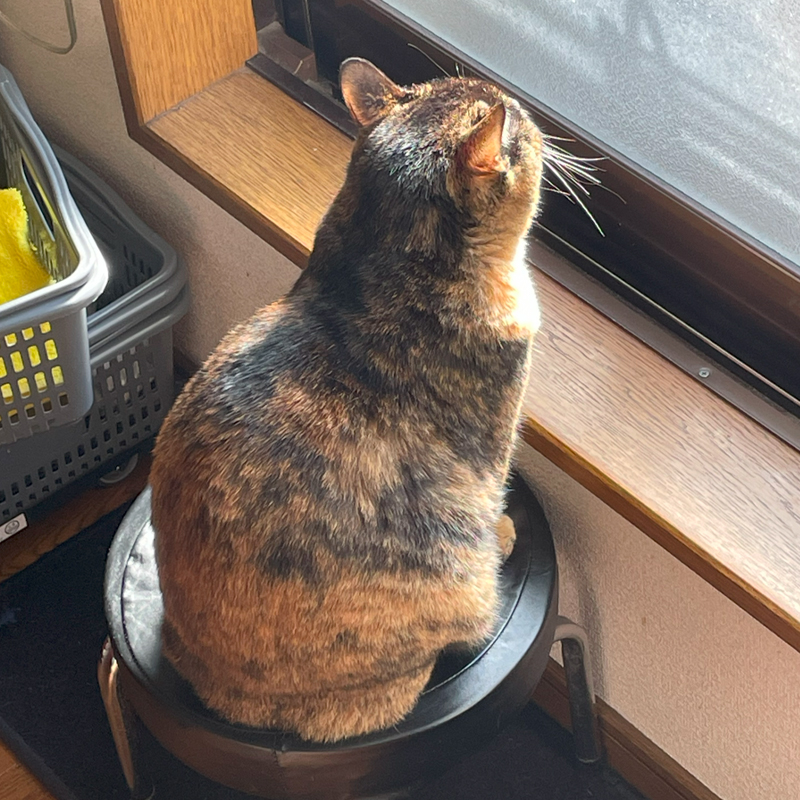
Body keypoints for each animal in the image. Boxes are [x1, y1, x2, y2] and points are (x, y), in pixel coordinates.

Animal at [149, 57, 544, 743]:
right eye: (512, 118)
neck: (375, 265)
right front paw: (502, 530)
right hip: (450, 576)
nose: (524, 103)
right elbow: (495, 498)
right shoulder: (491, 451)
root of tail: (227, 698)